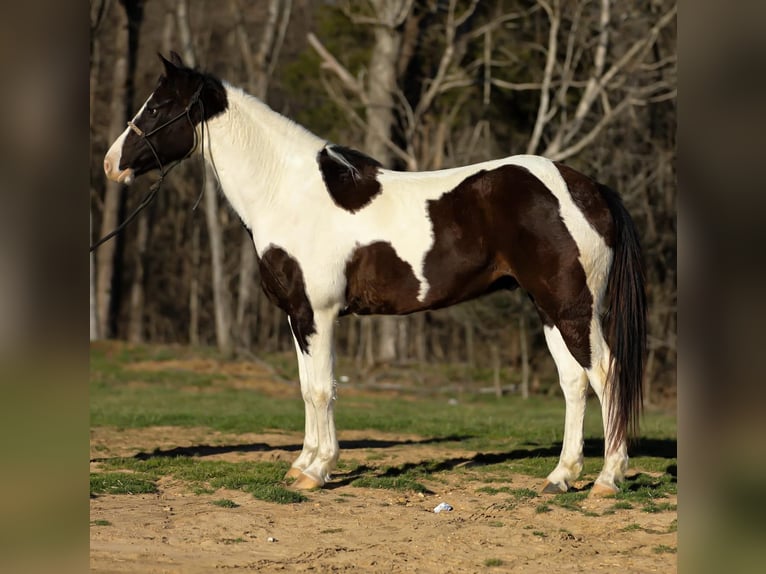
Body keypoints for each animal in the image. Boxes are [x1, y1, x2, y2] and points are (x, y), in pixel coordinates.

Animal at [103, 52, 646, 496]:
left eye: (158, 108)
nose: (112, 163)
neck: (289, 193)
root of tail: (589, 188)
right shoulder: (298, 317)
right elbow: (306, 387)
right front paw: (302, 463)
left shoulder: (318, 313)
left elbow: (321, 388)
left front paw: (316, 471)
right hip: (547, 307)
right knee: (574, 383)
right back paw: (560, 477)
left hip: (573, 307)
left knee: (605, 374)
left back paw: (607, 479)